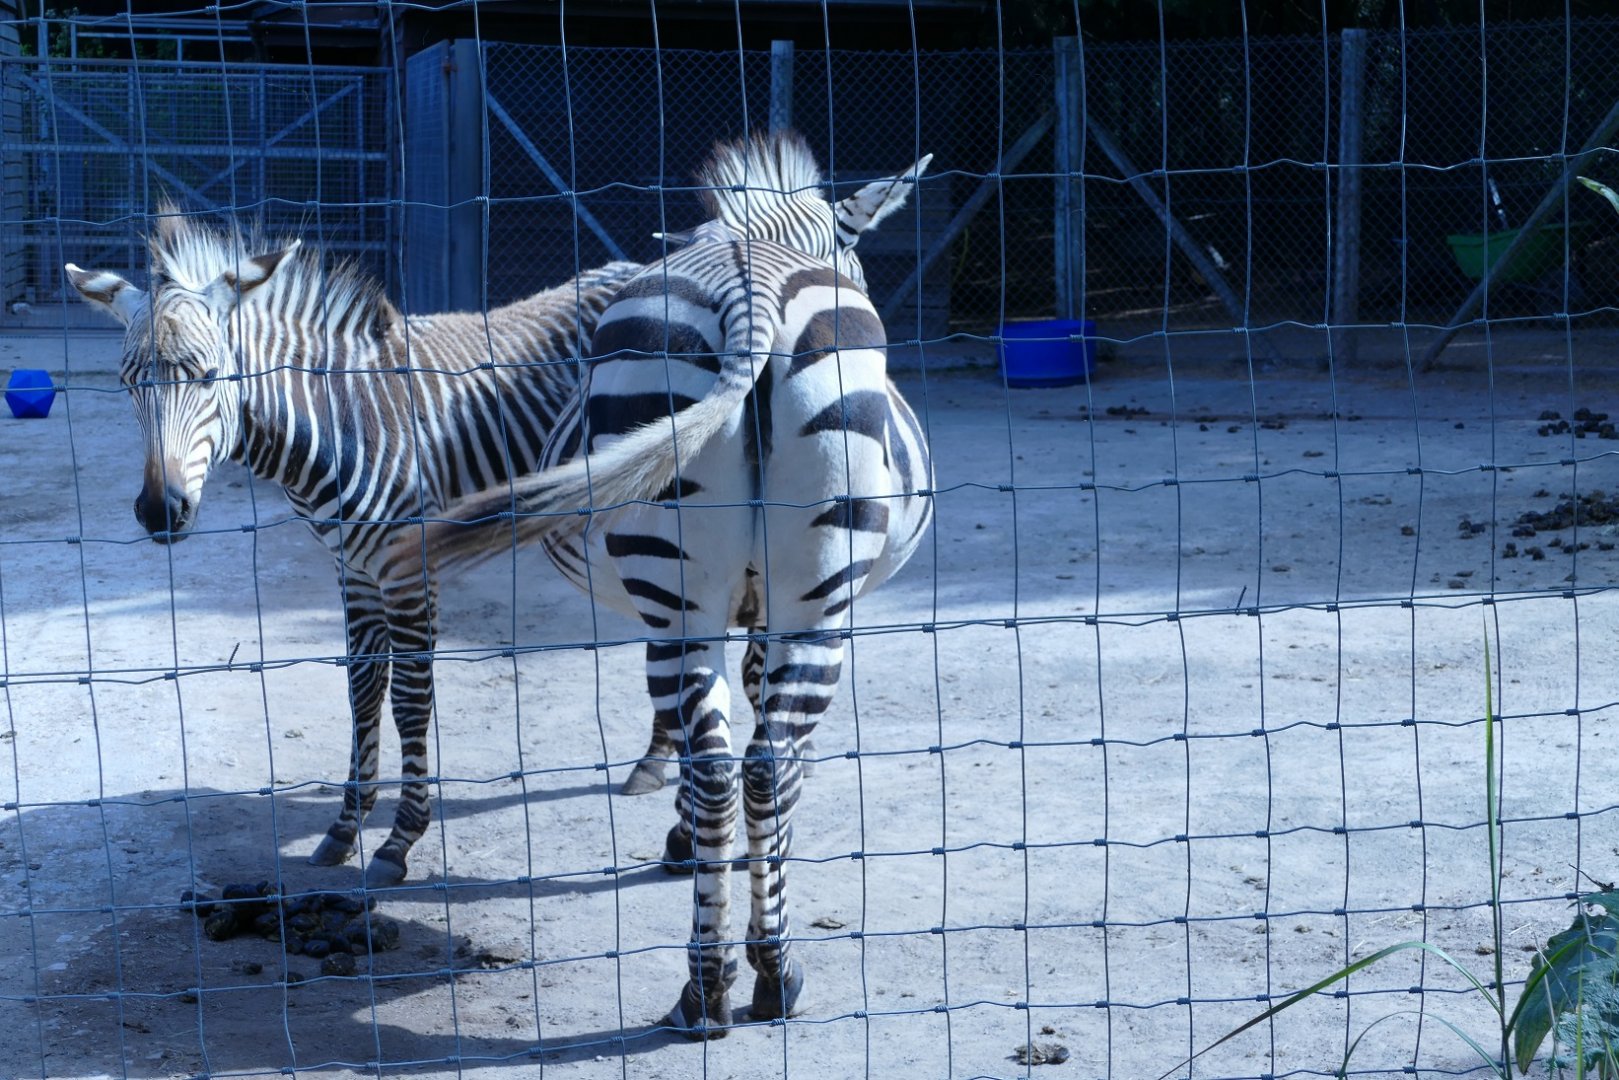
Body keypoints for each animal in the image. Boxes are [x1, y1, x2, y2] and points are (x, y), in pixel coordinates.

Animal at [65, 209, 642, 888]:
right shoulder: (354, 570)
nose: (160, 511)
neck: (336, 419)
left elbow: (412, 700)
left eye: (209, 377)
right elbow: (362, 688)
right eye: (128, 384)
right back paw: (654, 765)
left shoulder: (406, 571)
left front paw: (398, 840)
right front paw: (345, 826)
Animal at [408, 130, 934, 1035]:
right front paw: (691, 841)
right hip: (788, 596)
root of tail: (749, 289)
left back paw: (718, 983)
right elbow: (735, 723)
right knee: (759, 765)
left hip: (696, 587)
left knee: (738, 767)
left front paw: (686, 837)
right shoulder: (752, 611)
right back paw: (759, 975)